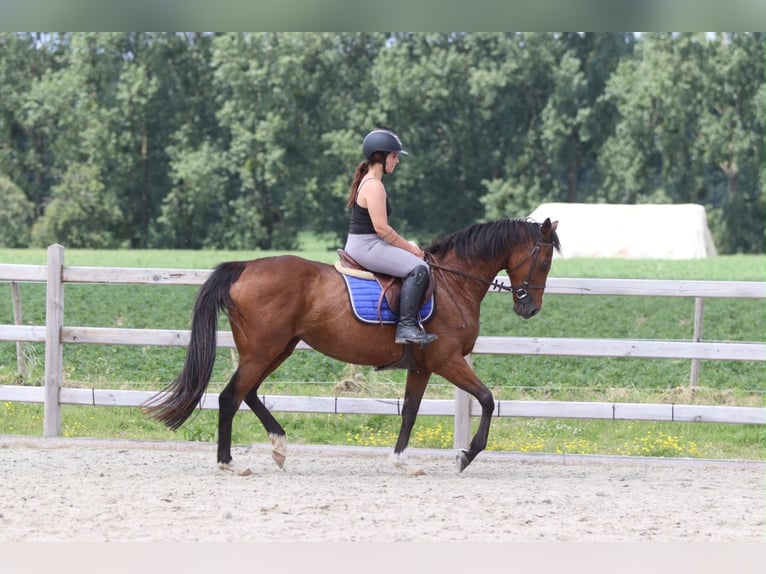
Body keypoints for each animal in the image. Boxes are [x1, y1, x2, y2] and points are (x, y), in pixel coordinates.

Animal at [142, 217, 560, 474]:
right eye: (544, 262)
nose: (530, 308)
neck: (453, 283)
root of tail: (246, 267)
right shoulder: (448, 360)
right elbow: (487, 399)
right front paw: (466, 455)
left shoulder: (423, 367)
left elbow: (410, 413)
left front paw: (402, 461)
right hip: (263, 351)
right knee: (230, 397)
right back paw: (229, 463)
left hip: (277, 349)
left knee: (250, 393)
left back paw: (278, 445)